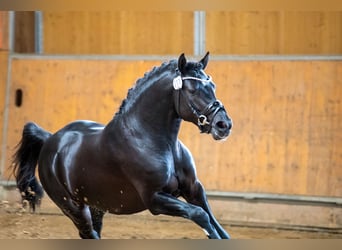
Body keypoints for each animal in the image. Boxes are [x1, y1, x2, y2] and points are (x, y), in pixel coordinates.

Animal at [12, 52, 232, 238]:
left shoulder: (194, 189)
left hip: (96, 206)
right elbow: (201, 216)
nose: (224, 125)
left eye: (213, 87)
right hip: (74, 209)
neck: (154, 141)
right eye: (192, 90)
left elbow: (215, 223)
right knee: (88, 233)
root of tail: (50, 139)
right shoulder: (154, 199)